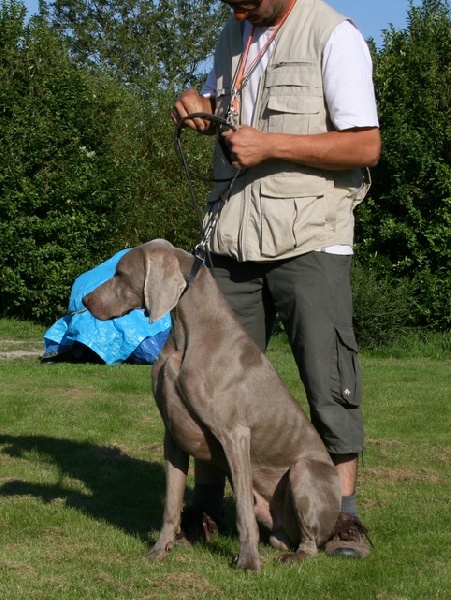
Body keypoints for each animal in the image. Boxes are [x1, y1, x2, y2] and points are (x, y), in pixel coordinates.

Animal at [83, 239, 340, 572]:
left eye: (120, 273)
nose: (85, 300)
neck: (188, 335)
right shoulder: (173, 435)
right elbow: (171, 503)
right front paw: (159, 550)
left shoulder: (235, 434)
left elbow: (242, 510)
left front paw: (248, 561)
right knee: (280, 537)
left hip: (305, 471)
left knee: (309, 542)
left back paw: (295, 555)